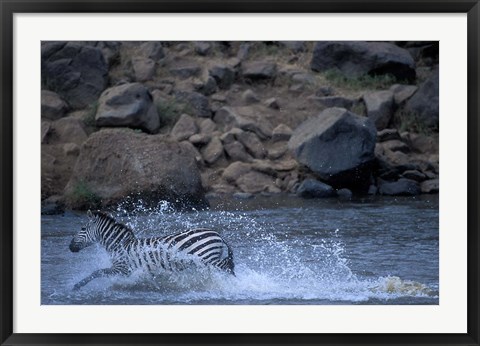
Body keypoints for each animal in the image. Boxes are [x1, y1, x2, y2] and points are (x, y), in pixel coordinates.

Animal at [69, 211, 234, 290]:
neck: (119, 245)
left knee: (226, 267)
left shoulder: (122, 268)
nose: (70, 247)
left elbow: (97, 272)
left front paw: (77, 286)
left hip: (206, 257)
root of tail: (217, 234)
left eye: (82, 228)